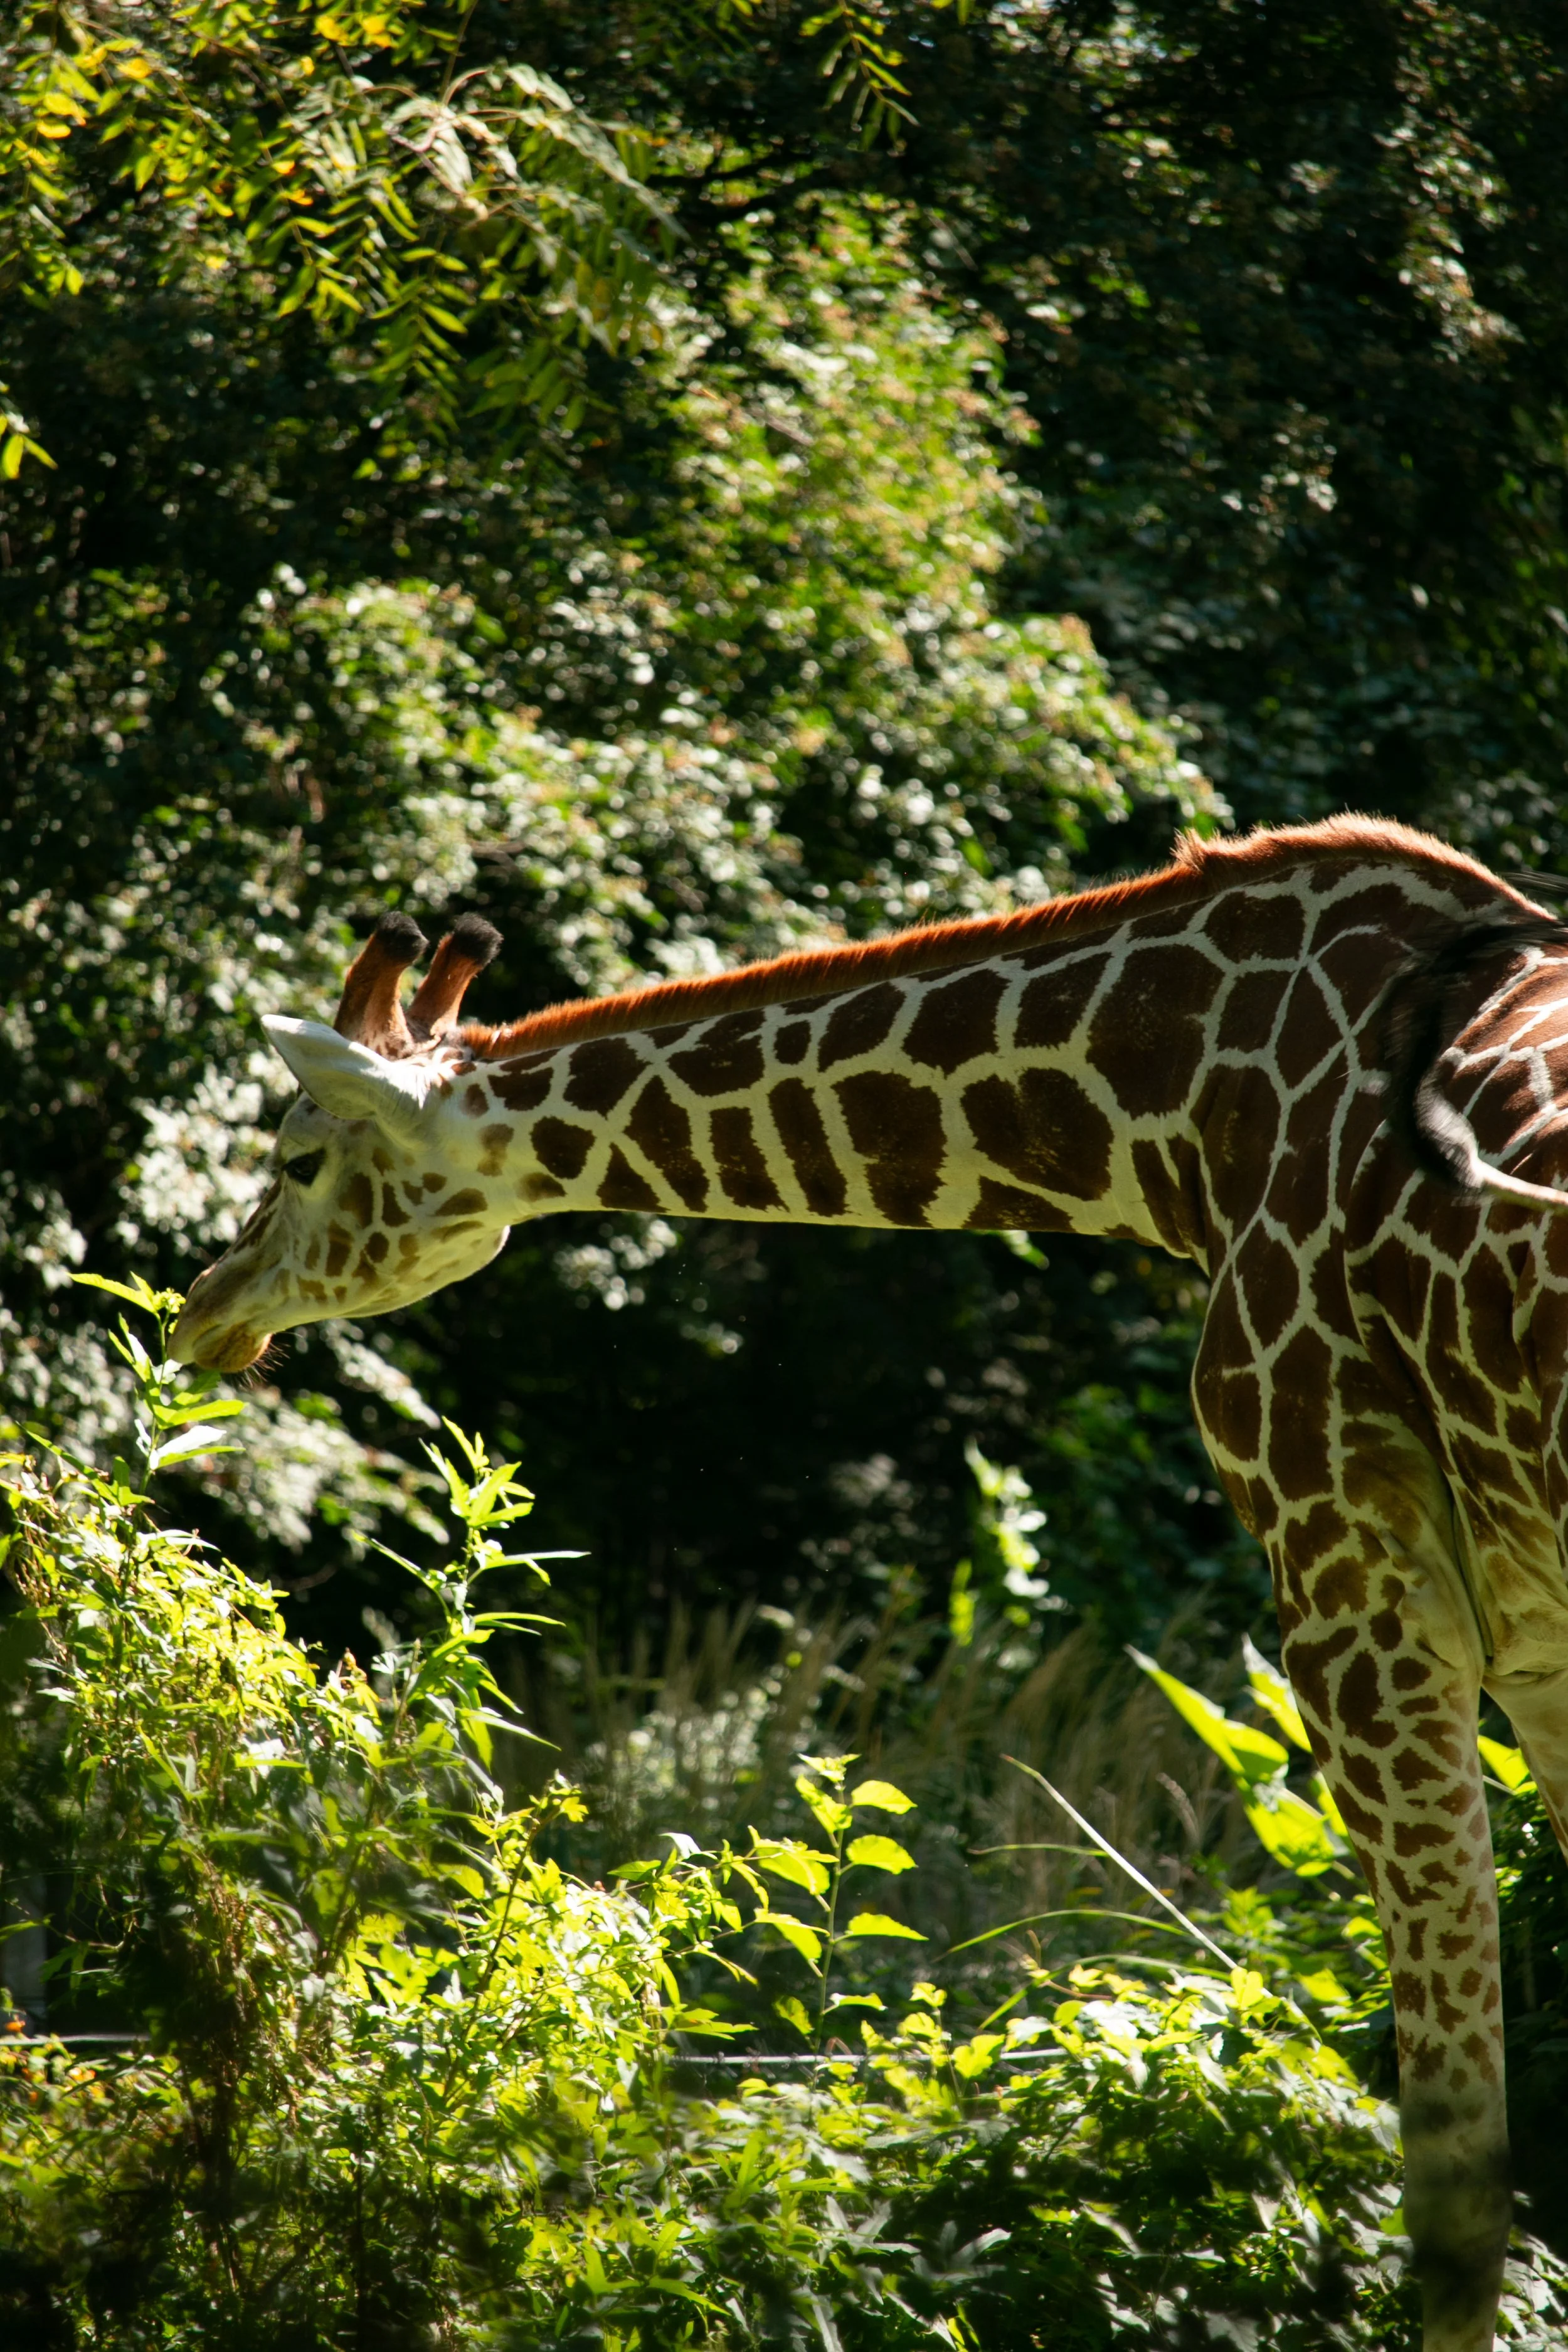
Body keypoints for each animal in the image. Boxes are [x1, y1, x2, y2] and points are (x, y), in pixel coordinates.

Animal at [169, 814, 1568, 2352]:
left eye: (299, 1157)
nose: (201, 1309)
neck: (1184, 1103)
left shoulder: (1358, 1586)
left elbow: (1456, 2189)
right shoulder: (1531, 1639)